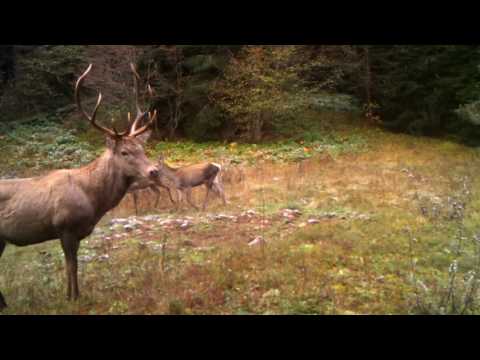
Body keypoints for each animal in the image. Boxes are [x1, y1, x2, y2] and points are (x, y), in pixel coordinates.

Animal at [0, 62, 159, 310]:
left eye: (142, 149)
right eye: (125, 152)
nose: (154, 171)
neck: (92, 201)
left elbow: (74, 265)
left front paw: (76, 295)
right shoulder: (65, 227)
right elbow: (71, 266)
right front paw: (71, 297)